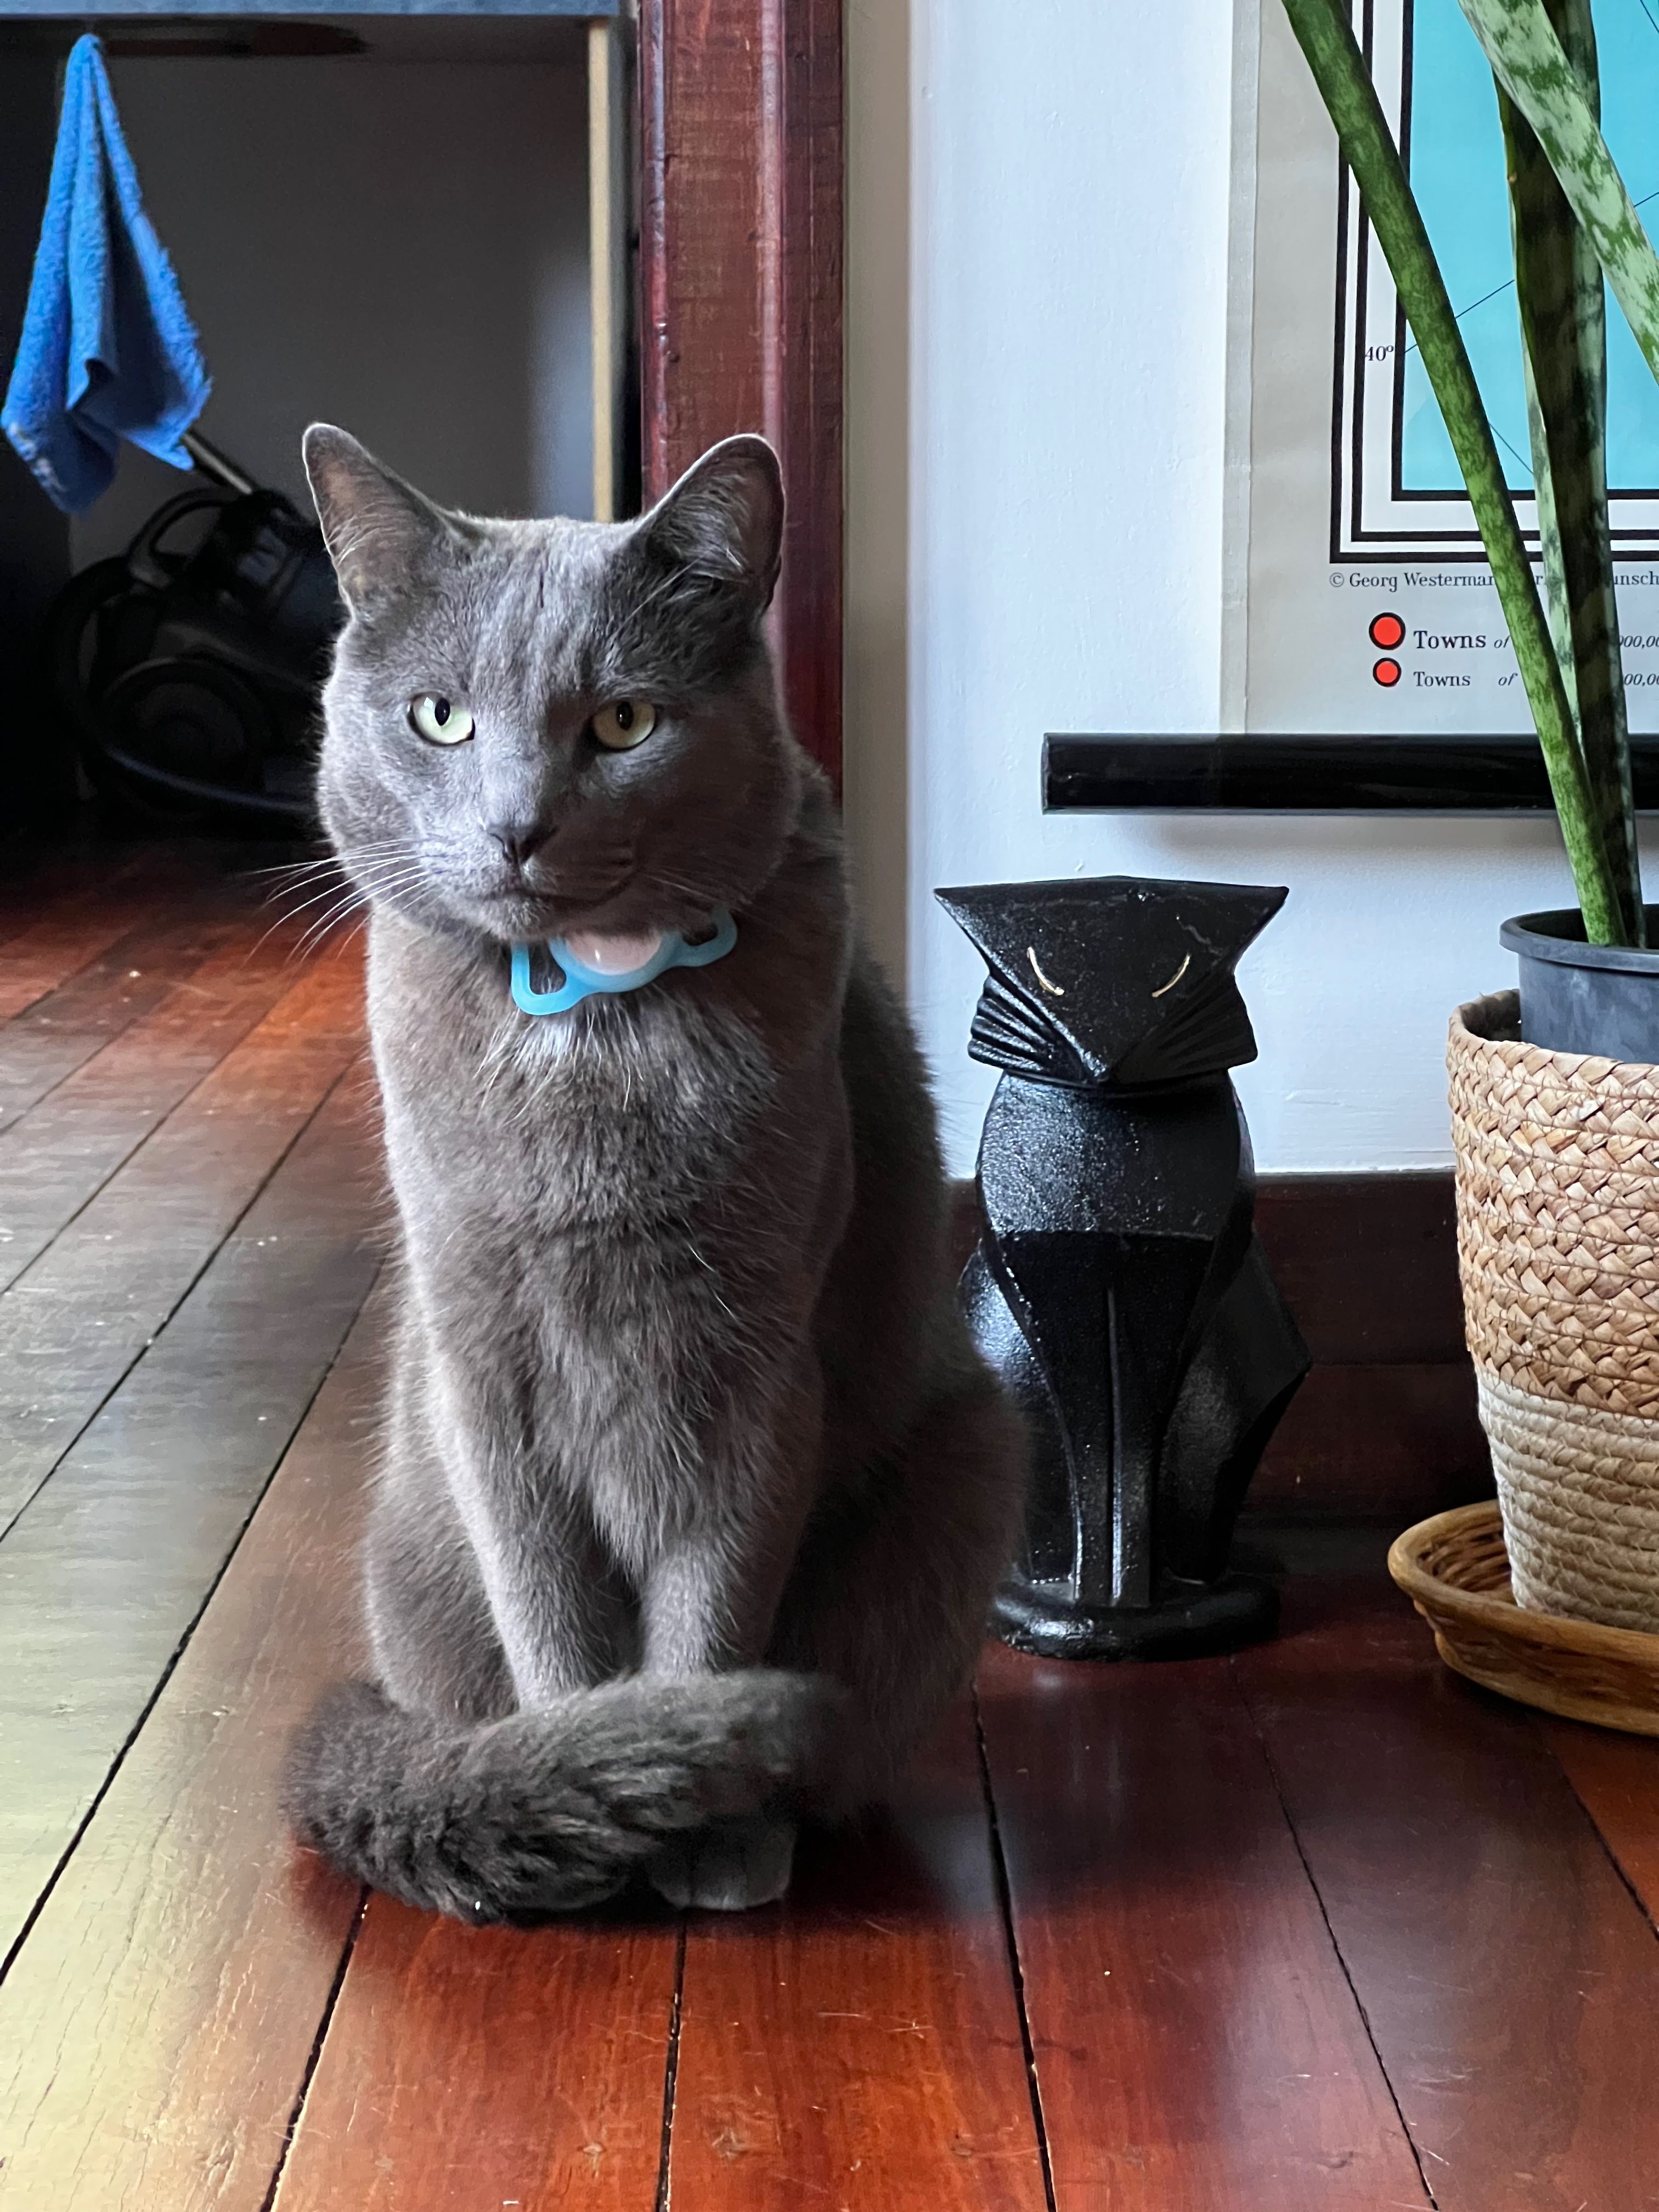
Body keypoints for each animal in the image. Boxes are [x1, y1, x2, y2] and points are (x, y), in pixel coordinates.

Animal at [285, 427, 1026, 1920]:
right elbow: (553, 1611)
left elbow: (711, 1605)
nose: (516, 826)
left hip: (969, 1458)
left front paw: (702, 1824)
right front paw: (597, 1774)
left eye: (624, 724)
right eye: (440, 718)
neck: (588, 1026)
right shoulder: (486, 1371)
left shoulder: (756, 1363)